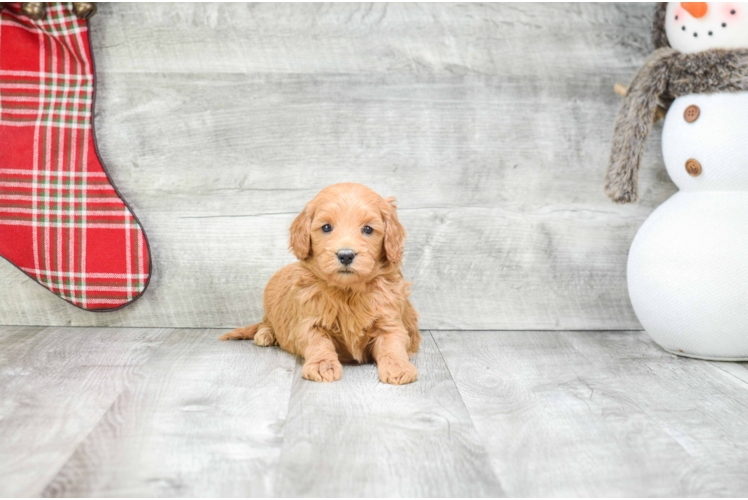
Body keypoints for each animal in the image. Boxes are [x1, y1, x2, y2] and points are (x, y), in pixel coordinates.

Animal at [221, 182, 420, 384]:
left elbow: (392, 344)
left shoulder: (390, 320)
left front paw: (397, 366)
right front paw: (323, 365)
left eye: (368, 229)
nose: (345, 255)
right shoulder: (309, 320)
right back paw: (266, 334)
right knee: (266, 321)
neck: (347, 291)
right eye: (326, 227)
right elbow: (318, 343)